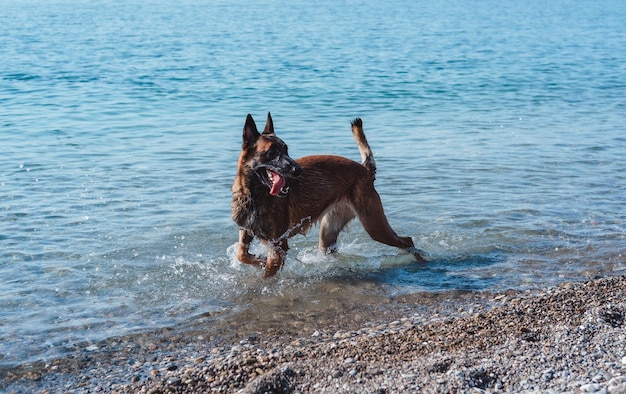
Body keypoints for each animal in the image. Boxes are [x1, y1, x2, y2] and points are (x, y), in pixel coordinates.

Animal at [229, 111, 424, 278]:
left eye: (286, 150)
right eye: (271, 153)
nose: (298, 170)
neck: (254, 195)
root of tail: (365, 170)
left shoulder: (278, 246)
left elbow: (266, 275)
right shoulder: (247, 231)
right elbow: (241, 254)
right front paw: (260, 260)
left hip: (375, 226)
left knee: (407, 240)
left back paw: (422, 261)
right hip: (329, 234)